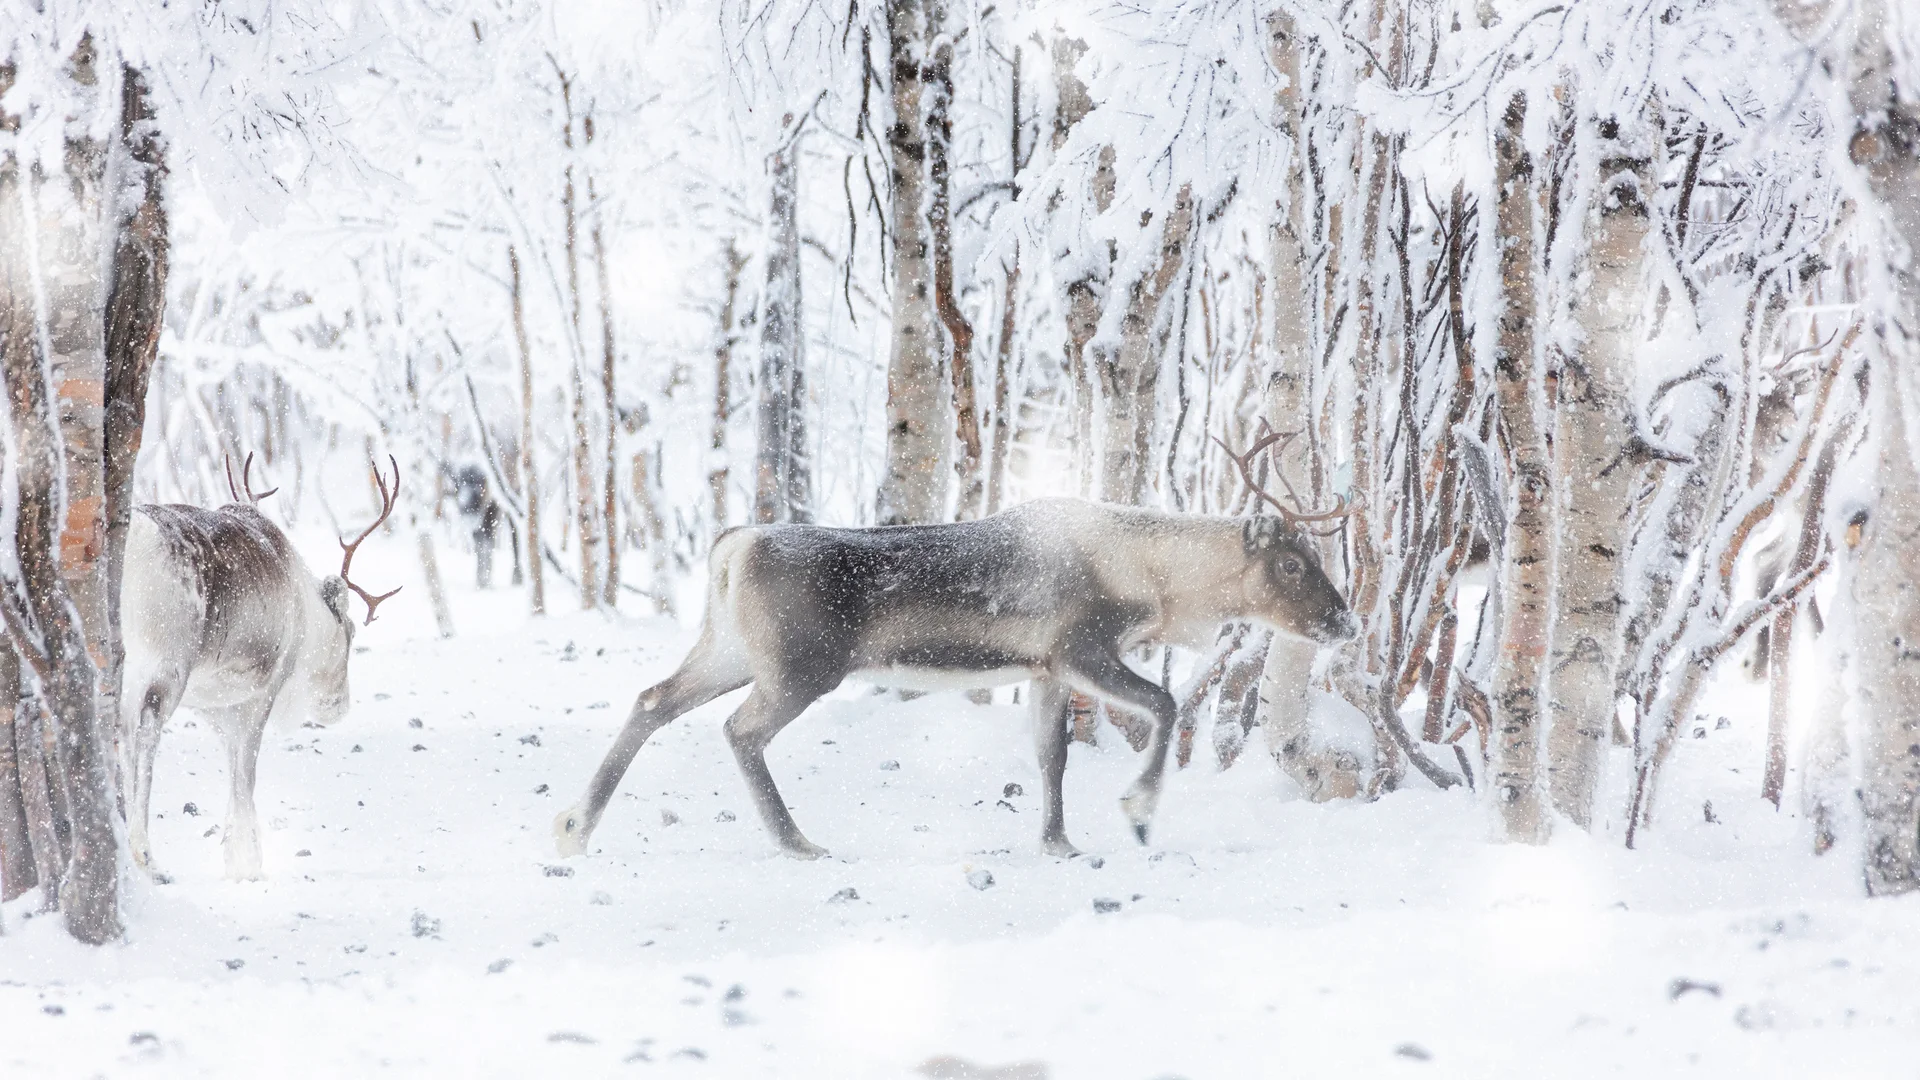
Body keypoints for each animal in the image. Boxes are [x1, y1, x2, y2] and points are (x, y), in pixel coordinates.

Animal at [118, 455, 402, 881]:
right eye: (350, 632)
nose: (339, 706)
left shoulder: (217, 705)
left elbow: (233, 767)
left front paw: (234, 854)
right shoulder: (264, 690)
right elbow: (246, 774)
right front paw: (248, 863)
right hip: (162, 665)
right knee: (143, 732)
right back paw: (145, 855)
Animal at [554, 430, 1356, 861]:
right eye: (1292, 565)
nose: (1346, 623)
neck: (1155, 579)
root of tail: (730, 546)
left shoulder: (1044, 668)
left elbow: (1051, 756)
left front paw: (1059, 842)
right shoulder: (1082, 646)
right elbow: (1162, 703)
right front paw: (1137, 811)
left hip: (729, 651)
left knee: (653, 699)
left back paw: (573, 827)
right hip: (800, 667)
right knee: (739, 729)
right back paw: (796, 842)